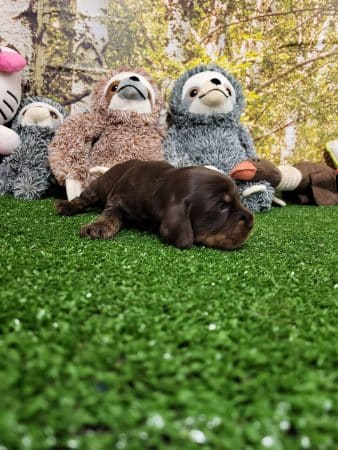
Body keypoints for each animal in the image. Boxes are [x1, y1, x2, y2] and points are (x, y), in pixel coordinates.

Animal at [55, 158, 252, 250]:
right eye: (221, 206)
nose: (252, 222)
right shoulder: (117, 200)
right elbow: (110, 214)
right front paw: (99, 226)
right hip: (98, 185)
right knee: (84, 198)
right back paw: (67, 205)